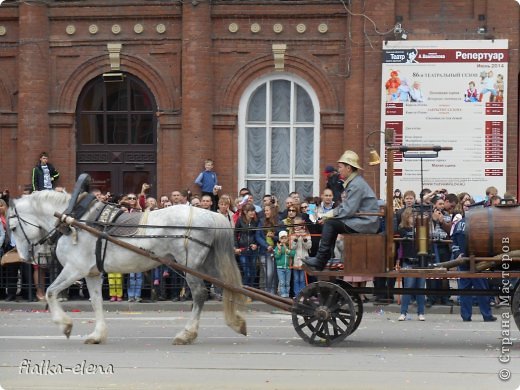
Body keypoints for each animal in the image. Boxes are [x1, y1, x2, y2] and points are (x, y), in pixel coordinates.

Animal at [7, 191, 248, 344]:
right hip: (207, 263)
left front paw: (65, 325)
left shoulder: (74, 270)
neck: (73, 220)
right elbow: (96, 302)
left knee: (199, 294)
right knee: (228, 287)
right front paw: (97, 334)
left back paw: (187, 334)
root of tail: (211, 214)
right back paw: (236, 322)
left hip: (190, 265)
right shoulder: (92, 273)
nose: (24, 256)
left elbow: (50, 292)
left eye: (13, 227)